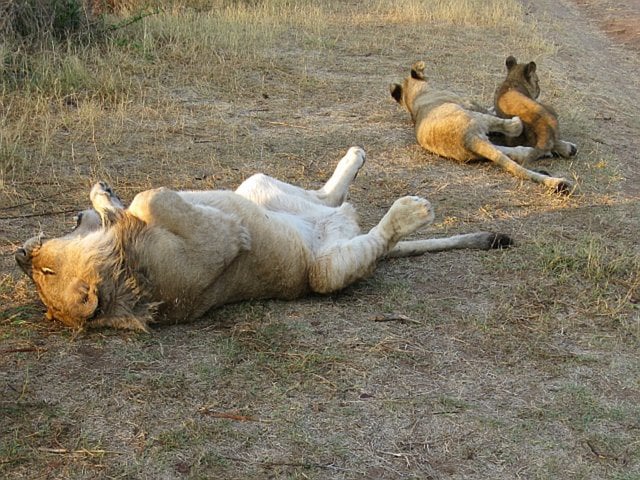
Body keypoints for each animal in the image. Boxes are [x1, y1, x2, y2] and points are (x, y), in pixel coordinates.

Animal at [15, 148, 512, 332]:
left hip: (256, 186)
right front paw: (114, 206)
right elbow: (149, 196)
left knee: (328, 197)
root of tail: (336, 226)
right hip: (324, 273)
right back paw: (411, 211)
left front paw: (104, 196)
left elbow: (136, 200)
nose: (22, 254)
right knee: (374, 240)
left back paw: (355, 157)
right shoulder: (223, 239)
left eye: (44, 271)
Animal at [390, 61, 576, 192]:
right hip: (476, 117)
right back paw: (520, 125)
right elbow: (490, 109)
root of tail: (467, 139)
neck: (415, 98)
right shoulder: (469, 102)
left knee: (514, 153)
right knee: (510, 128)